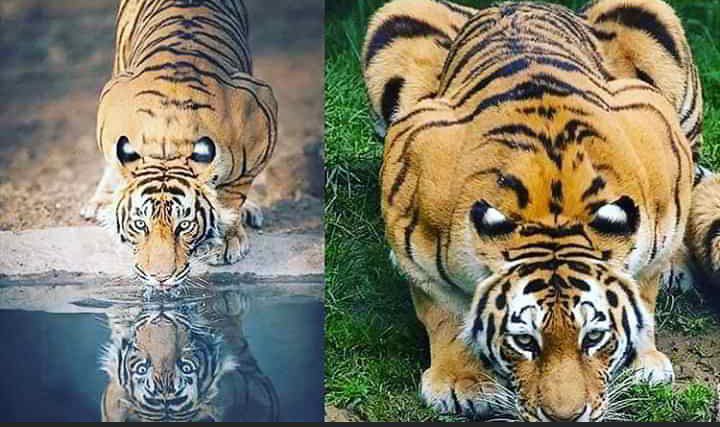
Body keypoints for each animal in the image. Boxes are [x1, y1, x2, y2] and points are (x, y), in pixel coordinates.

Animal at [80, 0, 278, 290]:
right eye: (140, 224)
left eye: (184, 225)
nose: (160, 278)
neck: (168, 145)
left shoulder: (262, 117)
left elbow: (232, 195)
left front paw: (225, 239)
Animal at [363, 0, 702, 421]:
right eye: (524, 341)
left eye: (593, 337)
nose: (564, 417)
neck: (553, 211)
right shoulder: (415, 232)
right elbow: (447, 312)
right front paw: (462, 383)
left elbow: (644, 289)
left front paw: (643, 362)